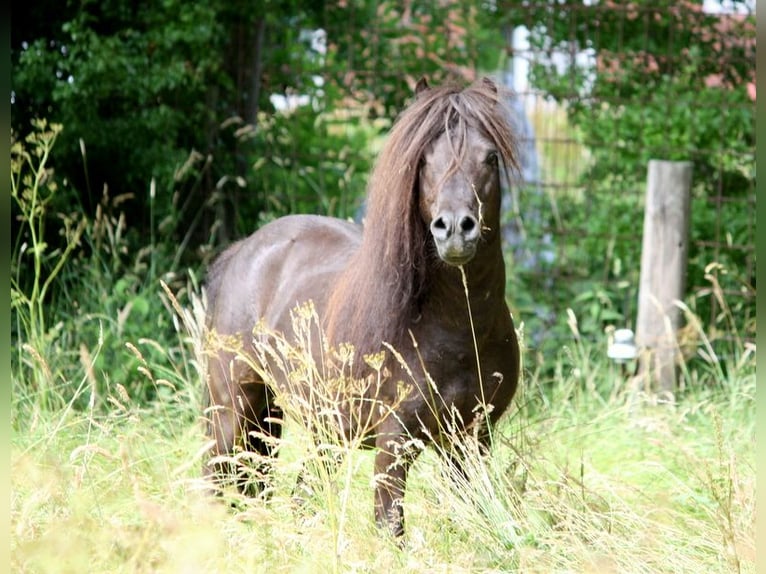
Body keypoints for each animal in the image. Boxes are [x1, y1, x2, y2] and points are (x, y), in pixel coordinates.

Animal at [206, 76, 520, 540]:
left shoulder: (471, 442)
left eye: (490, 157)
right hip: (232, 411)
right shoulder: (394, 443)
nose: (455, 229)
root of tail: (244, 250)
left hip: (309, 426)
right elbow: (391, 528)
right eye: (424, 160)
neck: (458, 328)